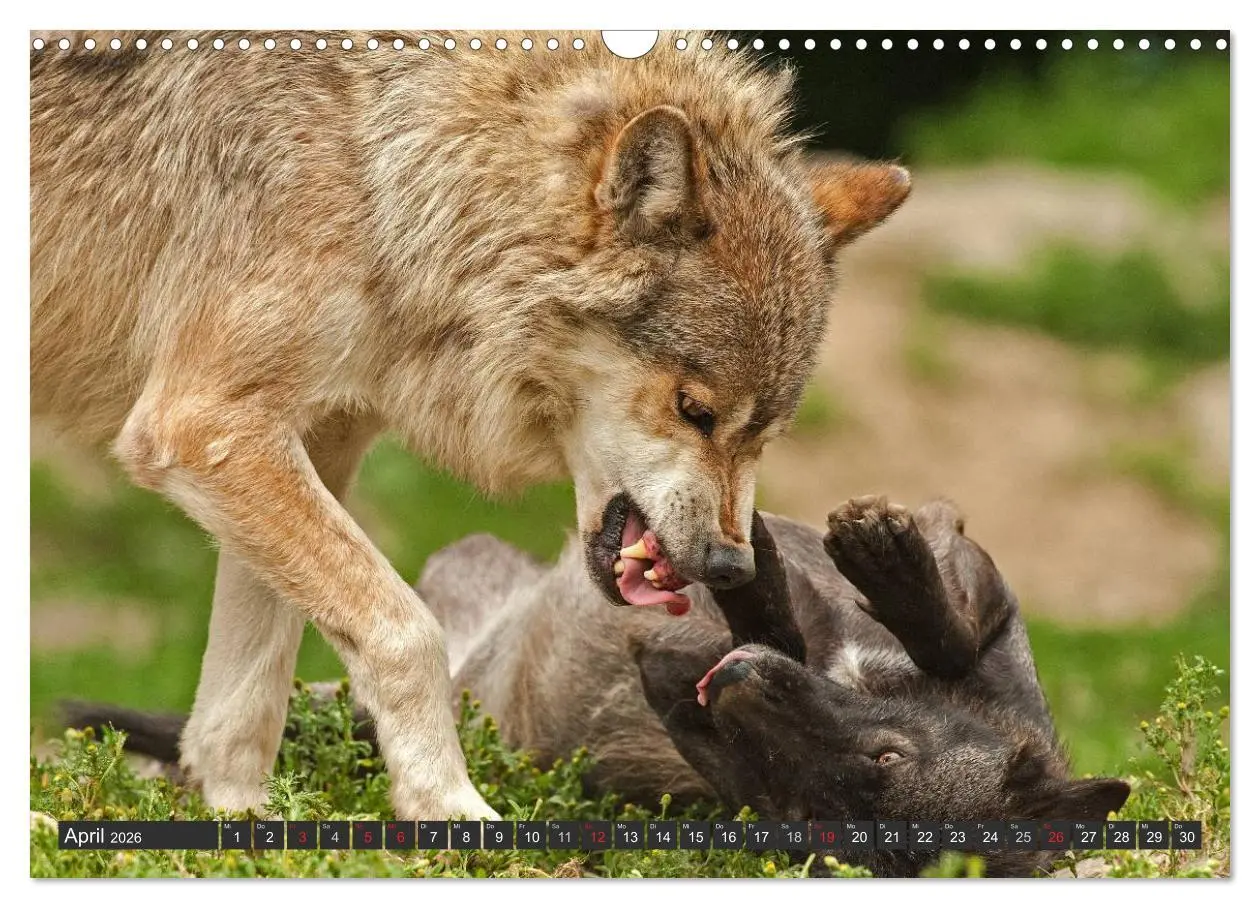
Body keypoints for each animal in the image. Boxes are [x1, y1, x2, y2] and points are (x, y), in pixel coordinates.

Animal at [31, 31, 911, 818]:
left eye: (766, 436)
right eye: (694, 410)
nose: (730, 567)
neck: (385, 171)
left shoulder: (304, 439)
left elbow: (248, 692)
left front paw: (243, 821)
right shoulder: (203, 424)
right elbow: (405, 633)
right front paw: (449, 808)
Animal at [69, 496, 1129, 876]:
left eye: (812, 813)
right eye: (885, 751)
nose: (728, 686)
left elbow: (768, 618)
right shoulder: (975, 596)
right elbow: (938, 613)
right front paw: (877, 562)